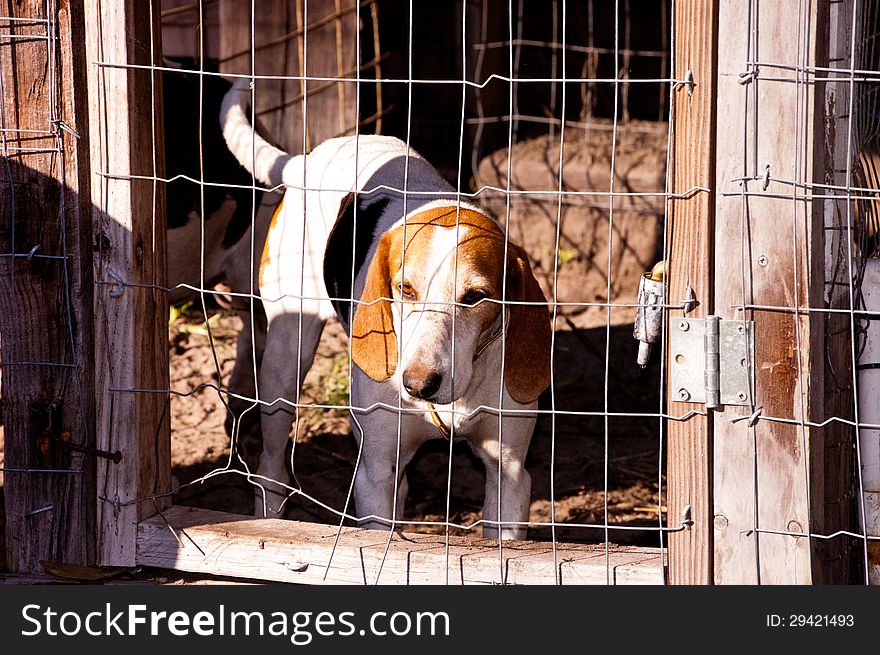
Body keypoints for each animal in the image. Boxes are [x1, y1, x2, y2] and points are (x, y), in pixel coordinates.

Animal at [220, 78, 552, 540]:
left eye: (475, 297)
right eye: (404, 289)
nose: (417, 384)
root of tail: (306, 161)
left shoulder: (510, 475)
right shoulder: (375, 472)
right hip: (286, 359)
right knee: (271, 460)